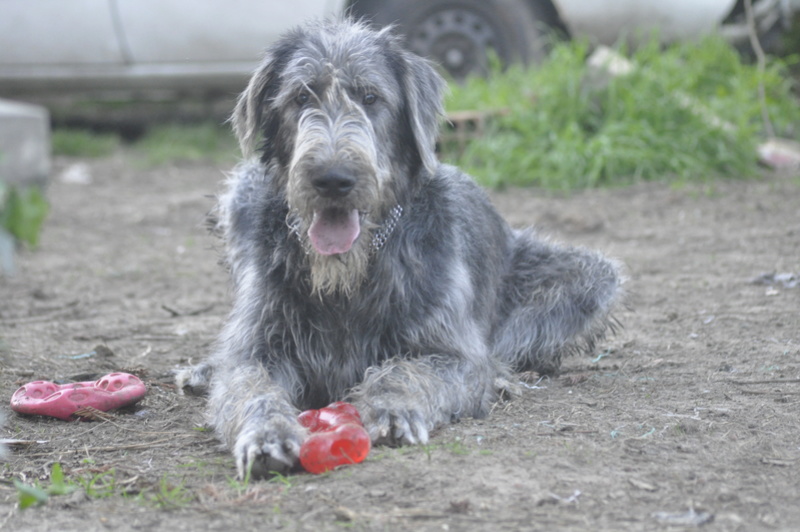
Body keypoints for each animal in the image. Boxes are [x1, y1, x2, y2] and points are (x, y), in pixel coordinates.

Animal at [177, 19, 624, 478]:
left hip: (589, 277)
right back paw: (205, 370)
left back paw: (500, 375)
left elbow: (408, 369)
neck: (348, 275)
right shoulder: (260, 341)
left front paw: (393, 408)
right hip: (242, 191)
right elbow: (249, 382)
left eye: (371, 97)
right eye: (301, 96)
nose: (332, 179)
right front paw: (266, 432)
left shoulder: (449, 349)